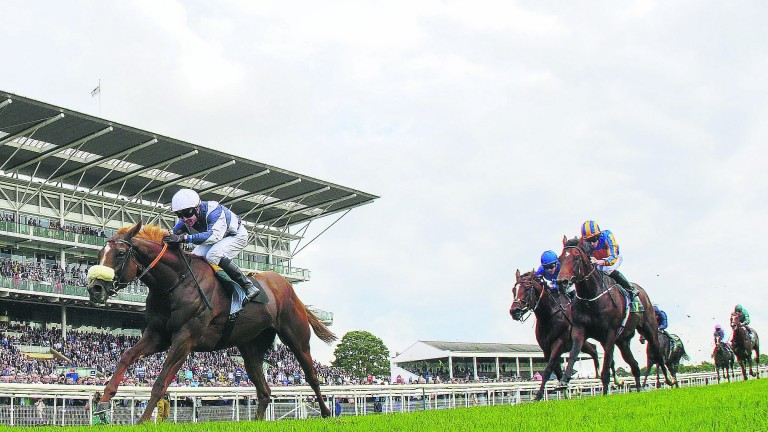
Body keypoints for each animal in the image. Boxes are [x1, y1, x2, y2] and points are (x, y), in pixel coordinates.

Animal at [85, 223, 334, 422]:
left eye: (119, 253)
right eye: (99, 254)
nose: (95, 288)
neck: (175, 283)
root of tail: (285, 284)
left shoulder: (184, 340)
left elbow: (160, 383)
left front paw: (143, 421)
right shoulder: (157, 335)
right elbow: (126, 356)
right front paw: (104, 402)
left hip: (296, 338)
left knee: (312, 376)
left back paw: (325, 413)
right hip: (251, 348)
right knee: (264, 390)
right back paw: (256, 421)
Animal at [508, 270, 620, 402]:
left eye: (526, 288)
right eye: (514, 290)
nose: (514, 311)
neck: (549, 315)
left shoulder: (559, 343)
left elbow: (547, 370)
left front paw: (538, 396)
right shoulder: (546, 350)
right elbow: (556, 372)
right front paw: (564, 392)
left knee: (607, 353)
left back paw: (616, 379)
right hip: (583, 343)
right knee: (593, 349)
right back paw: (599, 373)